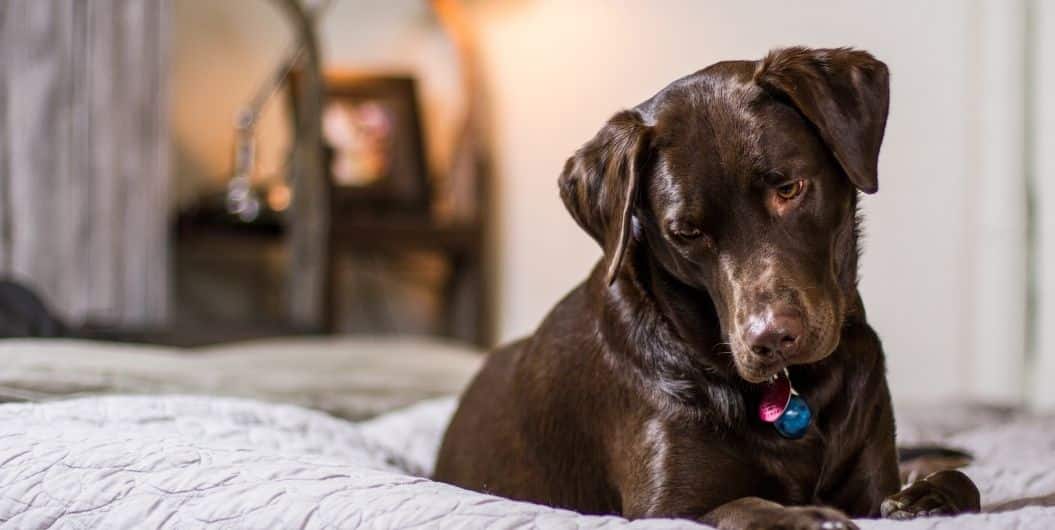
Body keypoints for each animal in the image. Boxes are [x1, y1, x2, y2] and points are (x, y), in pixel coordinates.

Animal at [432, 47, 974, 530]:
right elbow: (747, 507)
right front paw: (810, 517)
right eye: (687, 232)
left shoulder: (871, 483)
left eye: (789, 189)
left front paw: (924, 497)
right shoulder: (668, 506)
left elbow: (957, 486)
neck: (797, 391)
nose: (770, 338)